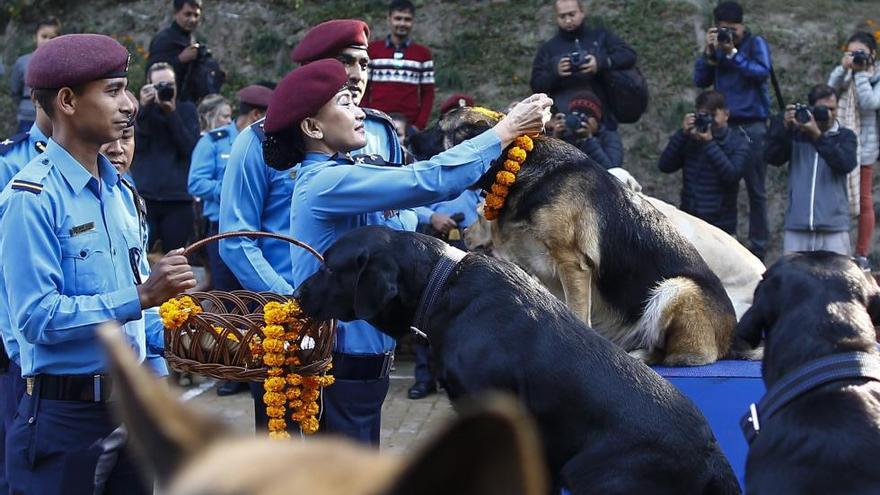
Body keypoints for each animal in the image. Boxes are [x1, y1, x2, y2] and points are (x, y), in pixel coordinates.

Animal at [410, 108, 740, 366]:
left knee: (672, 355)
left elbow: (579, 316)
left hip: (676, 288)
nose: (409, 139)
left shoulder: (573, 265)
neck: (521, 168)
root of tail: (730, 340)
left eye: (441, 128)